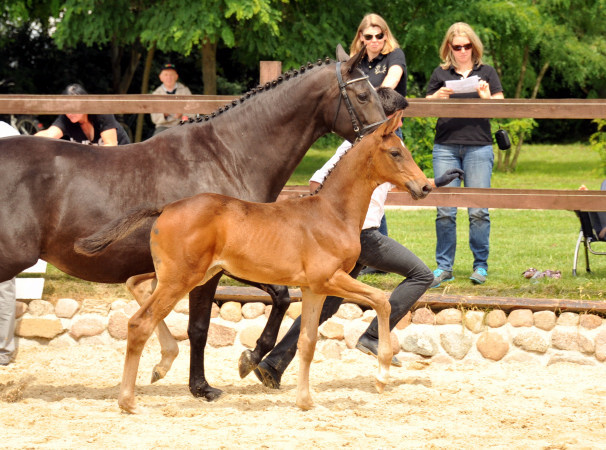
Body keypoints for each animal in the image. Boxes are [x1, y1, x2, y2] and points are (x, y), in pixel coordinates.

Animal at [76, 111, 434, 412]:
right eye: (396, 152)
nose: (426, 186)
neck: (331, 213)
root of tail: (166, 207)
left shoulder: (314, 288)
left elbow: (307, 341)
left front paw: (304, 401)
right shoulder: (330, 278)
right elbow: (382, 301)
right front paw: (382, 375)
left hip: (184, 274)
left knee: (136, 284)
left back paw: (161, 366)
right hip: (182, 278)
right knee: (139, 323)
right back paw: (128, 401)